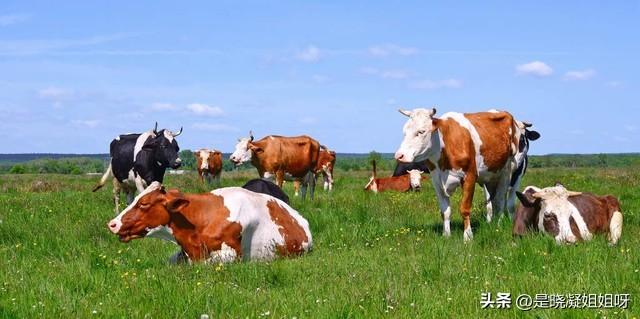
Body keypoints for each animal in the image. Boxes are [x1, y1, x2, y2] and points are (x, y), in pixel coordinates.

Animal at [396, 108, 520, 242]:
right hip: (490, 176)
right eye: (404, 131)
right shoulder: (436, 180)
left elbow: (464, 209)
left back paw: (498, 225)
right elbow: (445, 211)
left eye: (421, 131)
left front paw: (468, 236)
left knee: (500, 200)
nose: (399, 155)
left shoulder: (470, 176)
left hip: (507, 172)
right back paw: (490, 223)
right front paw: (446, 235)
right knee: (492, 202)